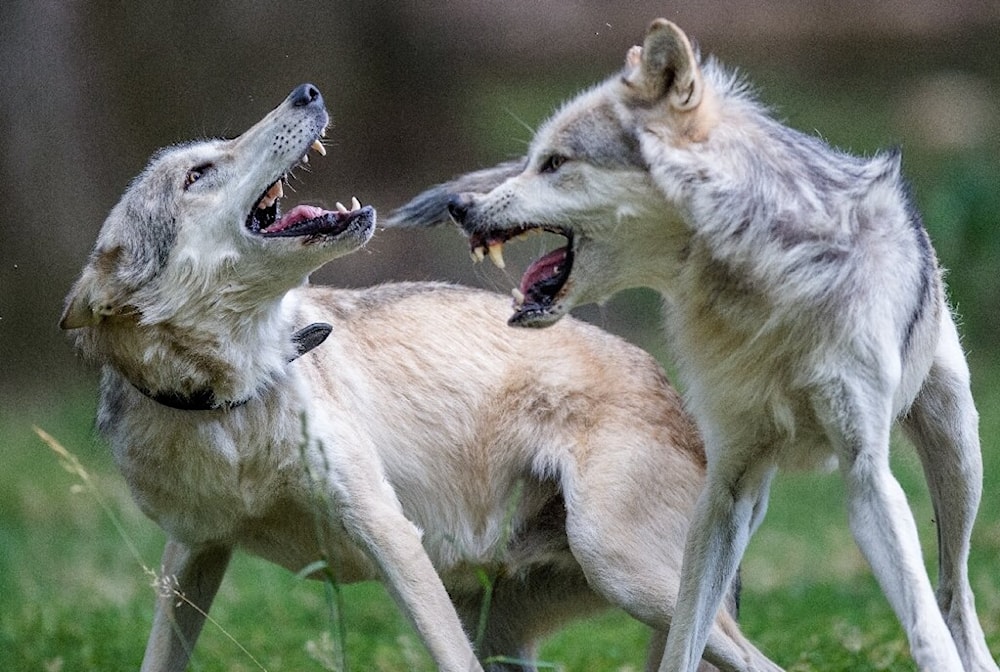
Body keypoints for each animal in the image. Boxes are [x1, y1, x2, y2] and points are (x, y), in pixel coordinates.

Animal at [60, 84, 780, 672]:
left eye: (212, 156)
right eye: (199, 172)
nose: (307, 91)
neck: (232, 401)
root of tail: (673, 393)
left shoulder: (390, 536)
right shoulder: (192, 554)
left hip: (622, 570)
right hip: (512, 630)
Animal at [390, 21, 1000, 672]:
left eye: (554, 163)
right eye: (531, 161)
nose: (459, 206)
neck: (757, 291)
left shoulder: (866, 473)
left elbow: (924, 626)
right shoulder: (726, 486)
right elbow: (685, 637)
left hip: (958, 452)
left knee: (953, 589)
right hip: (746, 506)